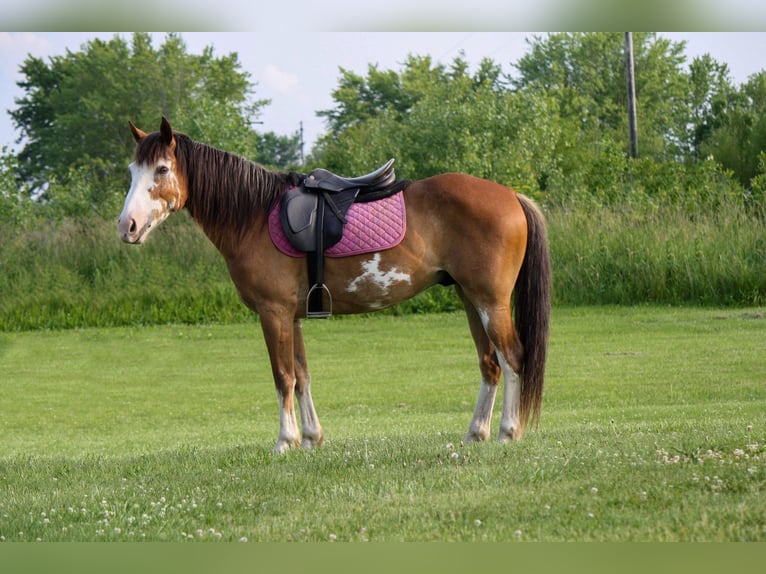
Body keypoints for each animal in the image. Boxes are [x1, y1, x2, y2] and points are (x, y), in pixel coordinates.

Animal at [118, 117, 552, 453]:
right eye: (132, 171)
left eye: (161, 170)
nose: (128, 227)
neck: (253, 217)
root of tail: (511, 195)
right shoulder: (292, 316)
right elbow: (302, 375)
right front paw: (311, 438)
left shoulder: (273, 313)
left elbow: (283, 376)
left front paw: (286, 441)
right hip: (469, 297)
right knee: (490, 363)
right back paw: (476, 433)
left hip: (490, 301)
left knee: (513, 357)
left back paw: (508, 433)